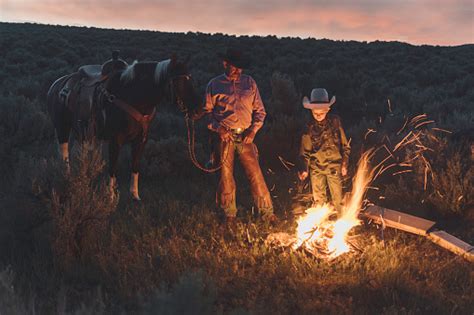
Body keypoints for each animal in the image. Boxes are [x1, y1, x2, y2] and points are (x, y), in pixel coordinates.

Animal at [49, 55, 201, 201]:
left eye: (191, 79)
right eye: (179, 82)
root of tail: (56, 84)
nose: (198, 110)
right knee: (64, 154)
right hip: (62, 127)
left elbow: (135, 165)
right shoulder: (115, 140)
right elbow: (113, 167)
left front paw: (134, 195)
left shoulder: (141, 139)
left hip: (84, 134)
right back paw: (67, 178)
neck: (132, 96)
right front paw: (110, 196)